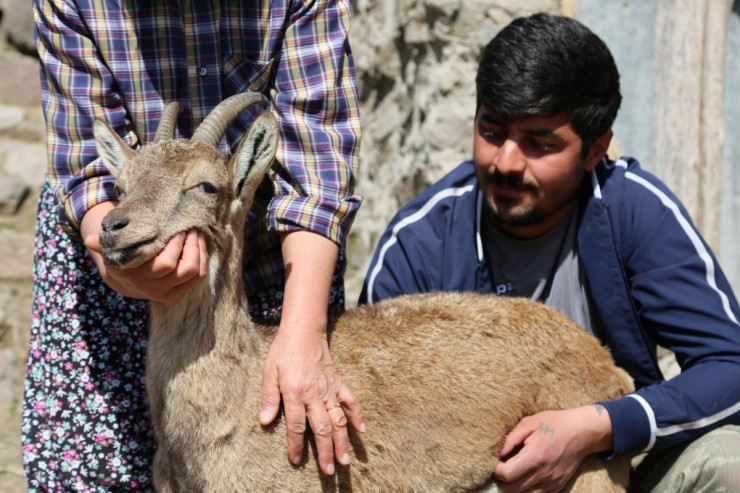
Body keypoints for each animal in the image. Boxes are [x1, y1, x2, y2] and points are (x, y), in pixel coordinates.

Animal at [94, 93, 636, 492]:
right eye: (119, 186)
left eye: (206, 186)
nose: (114, 229)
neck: (236, 410)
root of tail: (607, 365)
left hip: (588, 469)